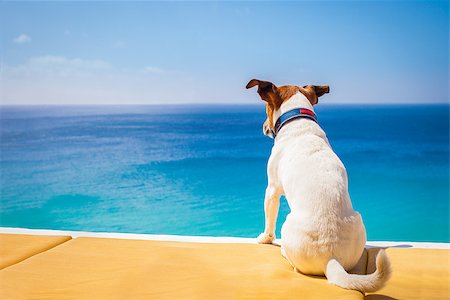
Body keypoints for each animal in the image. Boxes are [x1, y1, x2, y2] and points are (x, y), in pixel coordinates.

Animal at [246, 79, 390, 292]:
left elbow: (269, 221)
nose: (263, 126)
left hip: (287, 224)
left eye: (266, 109)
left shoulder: (271, 190)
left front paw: (264, 238)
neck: (298, 122)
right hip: (358, 220)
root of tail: (331, 259)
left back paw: (285, 252)